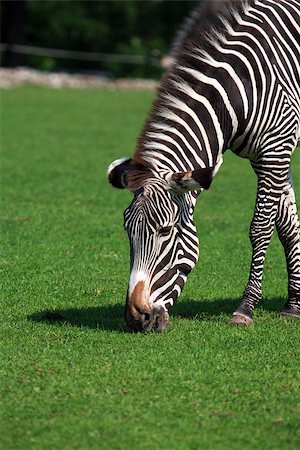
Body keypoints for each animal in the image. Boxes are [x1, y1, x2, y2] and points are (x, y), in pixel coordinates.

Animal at [108, 0, 300, 330]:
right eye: (127, 229)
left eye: (165, 231)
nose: (136, 317)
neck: (237, 92)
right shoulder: (270, 154)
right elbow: (287, 226)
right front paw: (294, 305)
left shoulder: (276, 147)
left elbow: (261, 227)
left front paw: (245, 308)